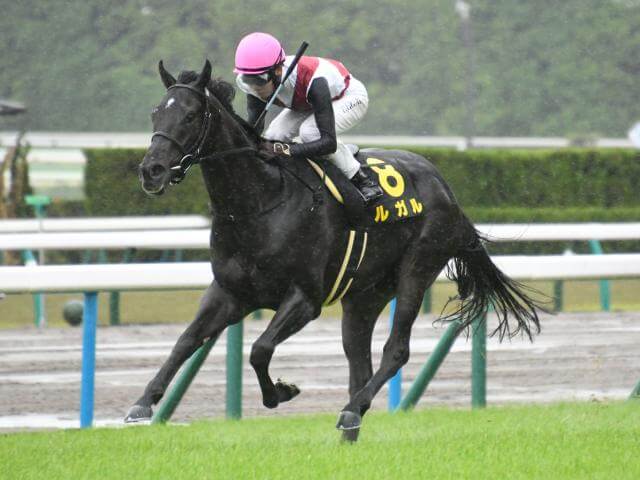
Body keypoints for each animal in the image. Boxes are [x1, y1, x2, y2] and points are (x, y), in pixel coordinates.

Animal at [127, 59, 543, 441]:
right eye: (155, 112)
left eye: (191, 115)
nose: (151, 170)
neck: (260, 201)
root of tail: (444, 186)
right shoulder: (229, 293)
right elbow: (185, 341)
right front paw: (143, 403)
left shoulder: (304, 298)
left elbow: (260, 349)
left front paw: (281, 392)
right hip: (364, 296)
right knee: (359, 364)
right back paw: (352, 425)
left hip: (417, 269)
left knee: (396, 350)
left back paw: (350, 411)